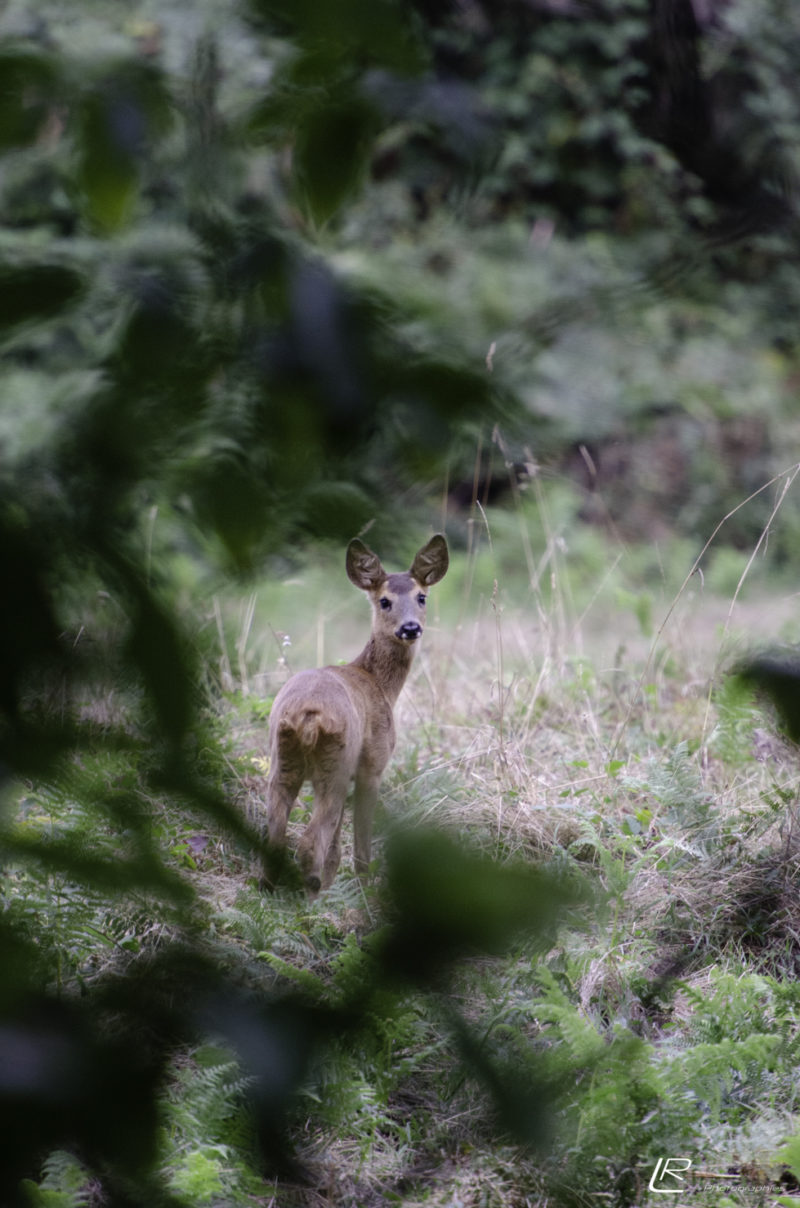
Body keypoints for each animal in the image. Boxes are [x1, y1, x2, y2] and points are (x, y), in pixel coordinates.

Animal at [264, 533, 447, 893]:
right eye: (384, 601)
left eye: (421, 596)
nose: (410, 628)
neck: (379, 684)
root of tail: (308, 716)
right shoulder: (371, 764)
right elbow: (361, 842)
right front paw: (364, 887)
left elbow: (335, 846)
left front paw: (335, 882)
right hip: (335, 762)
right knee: (309, 842)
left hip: (282, 761)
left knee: (274, 836)